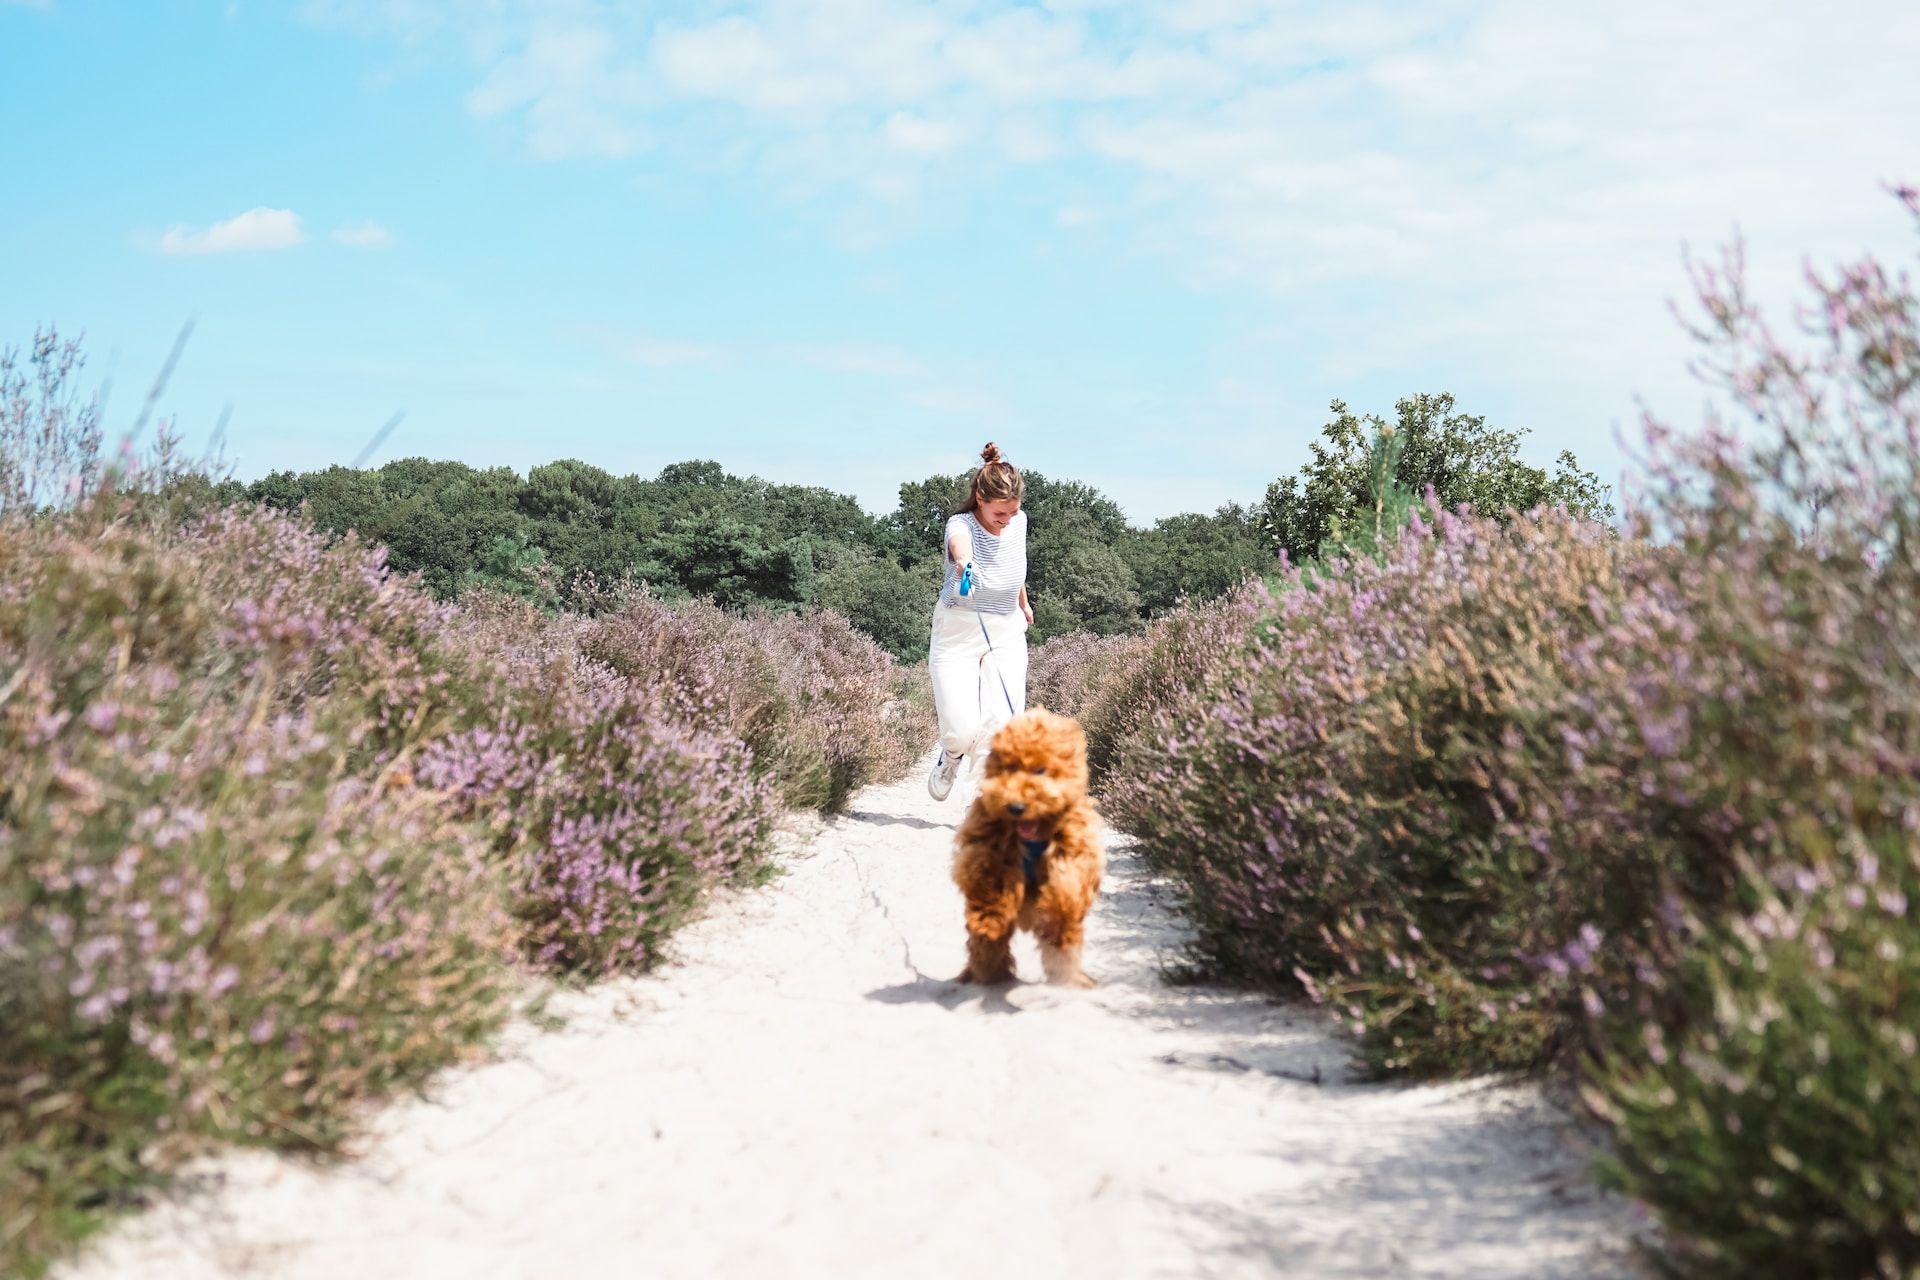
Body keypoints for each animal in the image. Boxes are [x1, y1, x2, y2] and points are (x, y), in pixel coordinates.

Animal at [952, 710, 1105, 990]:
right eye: (1009, 769)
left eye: (1041, 770)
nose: (1016, 806)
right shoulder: (986, 845)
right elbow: (988, 879)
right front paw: (989, 918)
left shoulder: (1075, 849)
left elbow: (1068, 887)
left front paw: (1059, 923)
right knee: (986, 949)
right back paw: (988, 973)